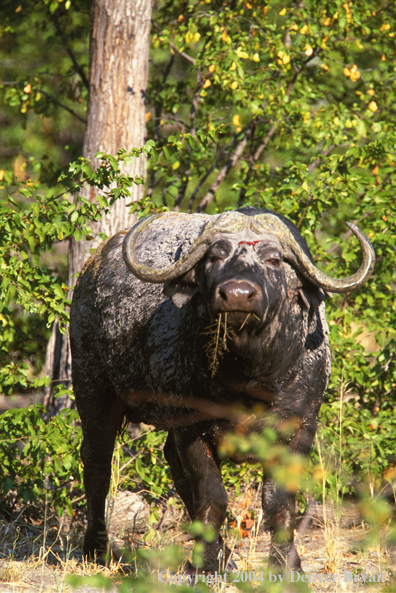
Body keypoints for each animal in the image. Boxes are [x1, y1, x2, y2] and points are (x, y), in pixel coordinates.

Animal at [70, 207, 374, 568]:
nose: (238, 295)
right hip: (92, 389)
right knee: (97, 465)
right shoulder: (191, 426)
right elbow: (213, 498)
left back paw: (225, 555)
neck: (248, 378)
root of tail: (89, 272)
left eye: (274, 259)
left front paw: (286, 565)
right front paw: (204, 565)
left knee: (170, 464)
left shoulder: (300, 428)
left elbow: (278, 504)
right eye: (215, 256)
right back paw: (96, 548)